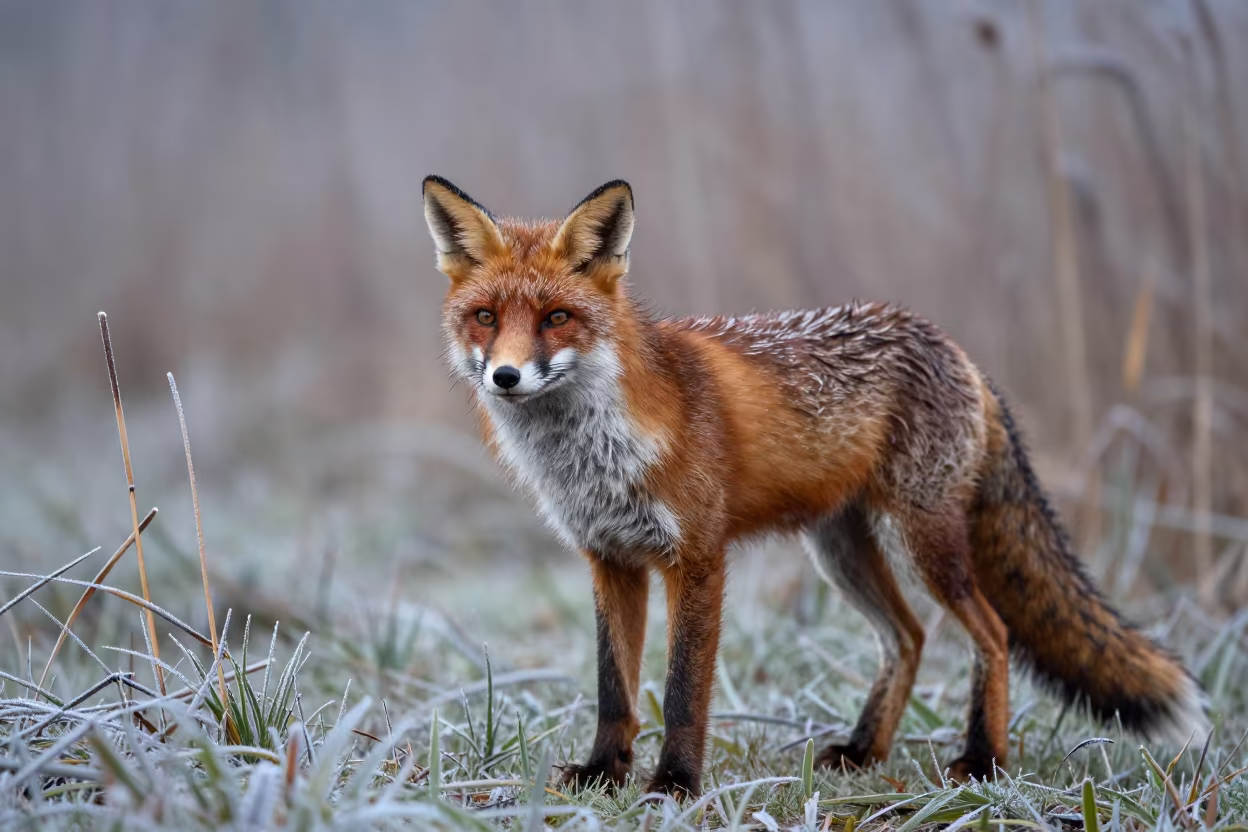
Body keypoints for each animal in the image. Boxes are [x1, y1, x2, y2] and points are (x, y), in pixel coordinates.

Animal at [420, 175, 1209, 797]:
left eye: (557, 318)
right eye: (485, 317)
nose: (506, 377)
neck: (590, 456)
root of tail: (956, 349)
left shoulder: (697, 559)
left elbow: (682, 691)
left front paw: (674, 784)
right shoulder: (610, 558)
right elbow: (613, 688)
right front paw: (603, 774)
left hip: (925, 543)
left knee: (992, 631)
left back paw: (983, 761)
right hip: (841, 552)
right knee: (909, 637)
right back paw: (864, 751)